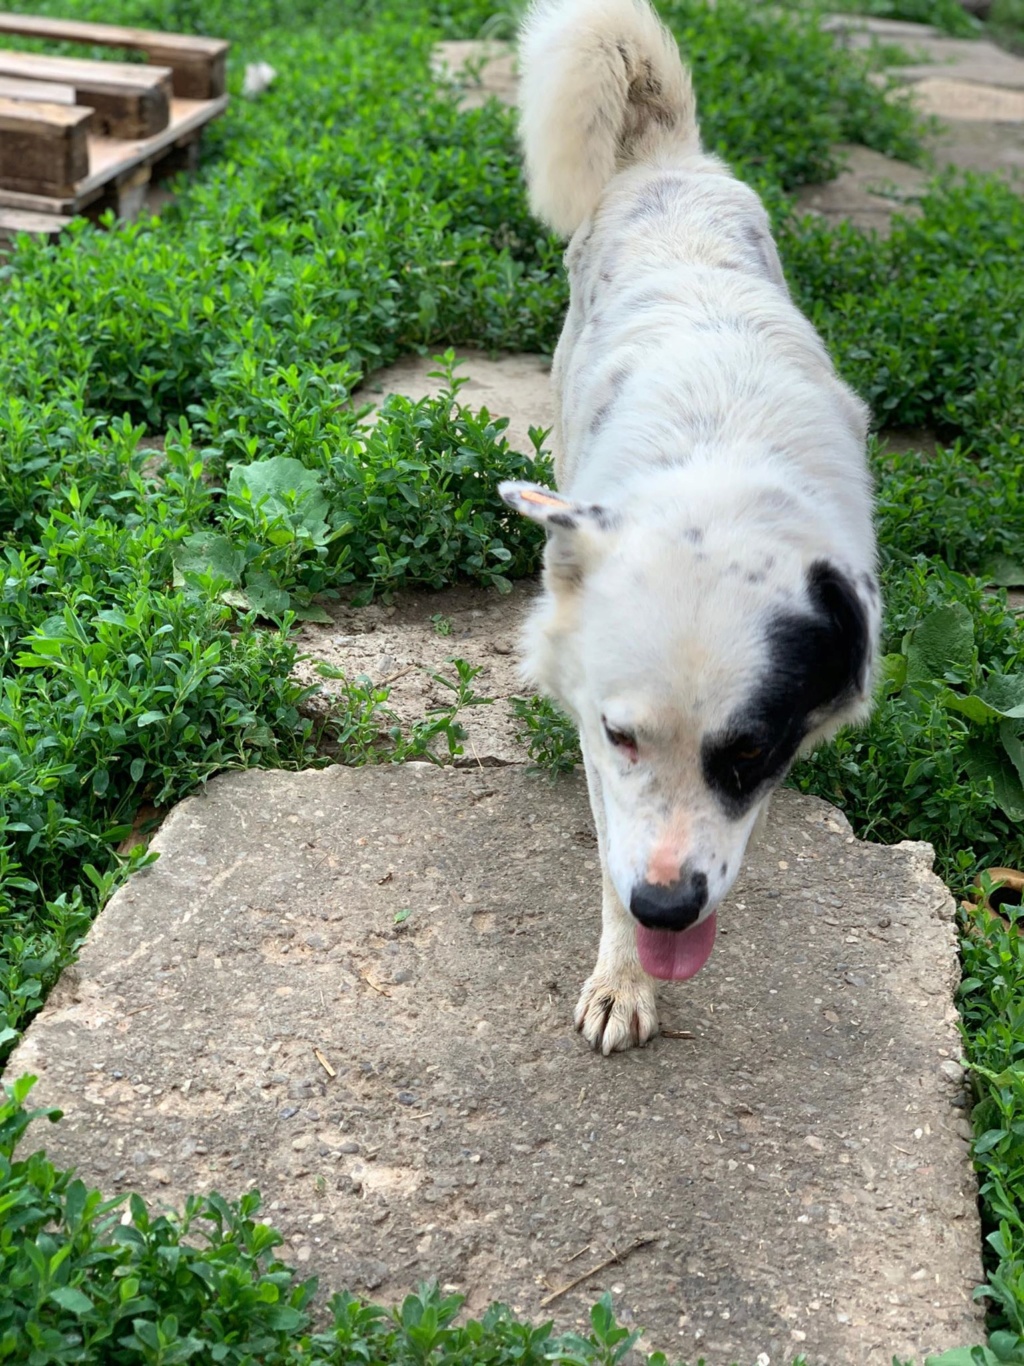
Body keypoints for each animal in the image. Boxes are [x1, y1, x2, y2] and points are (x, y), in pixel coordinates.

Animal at [499, 0, 884, 1054]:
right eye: (622, 735)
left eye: (750, 751)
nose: (666, 911)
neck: (719, 472)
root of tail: (666, 157)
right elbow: (608, 852)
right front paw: (623, 979)